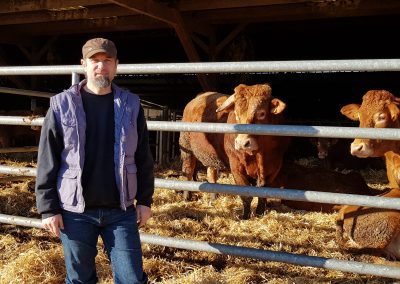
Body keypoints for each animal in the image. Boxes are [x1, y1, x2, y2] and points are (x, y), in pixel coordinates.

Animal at [216, 83, 290, 219]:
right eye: (236, 114)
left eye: (262, 113)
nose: (242, 143)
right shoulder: (235, 166)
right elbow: (245, 194)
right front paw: (245, 215)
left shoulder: (274, 166)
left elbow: (263, 192)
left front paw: (260, 212)